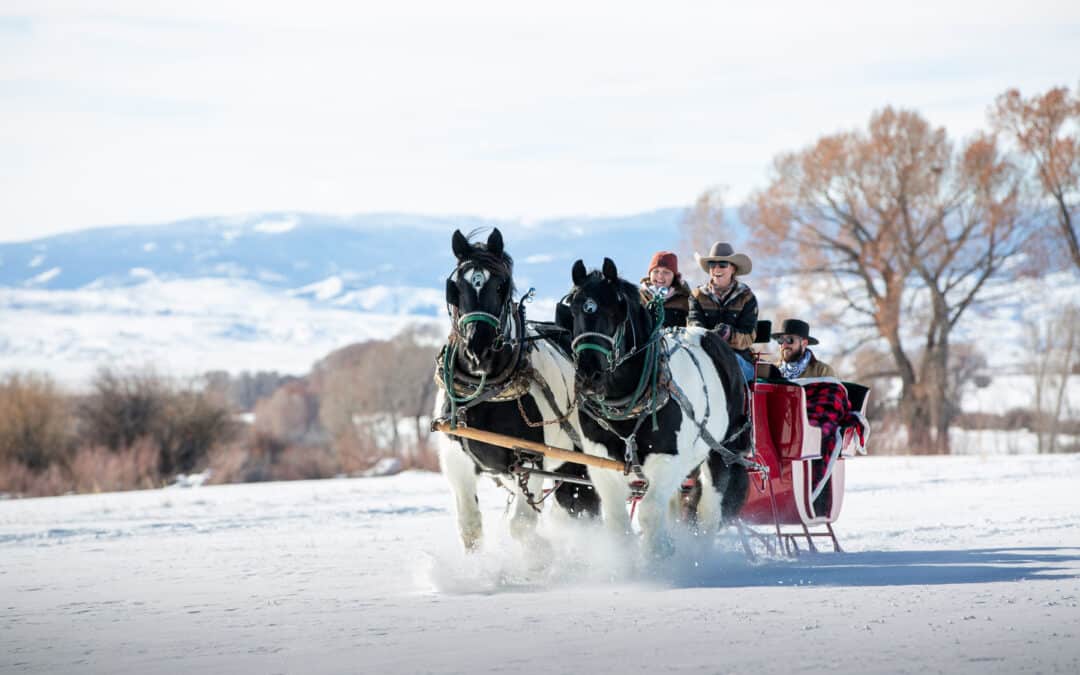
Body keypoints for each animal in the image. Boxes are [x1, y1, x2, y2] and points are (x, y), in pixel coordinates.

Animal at [432, 228, 600, 550]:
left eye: (501, 286)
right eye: (456, 287)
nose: (478, 348)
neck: (487, 391)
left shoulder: (529, 460)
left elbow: (521, 525)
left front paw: (540, 554)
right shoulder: (456, 458)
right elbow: (470, 528)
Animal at [557, 257, 751, 552]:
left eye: (615, 311)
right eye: (574, 309)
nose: (590, 374)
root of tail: (714, 334)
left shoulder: (667, 460)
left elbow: (649, 513)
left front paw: (656, 557)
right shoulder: (601, 465)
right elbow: (617, 522)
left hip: (721, 452)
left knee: (708, 510)